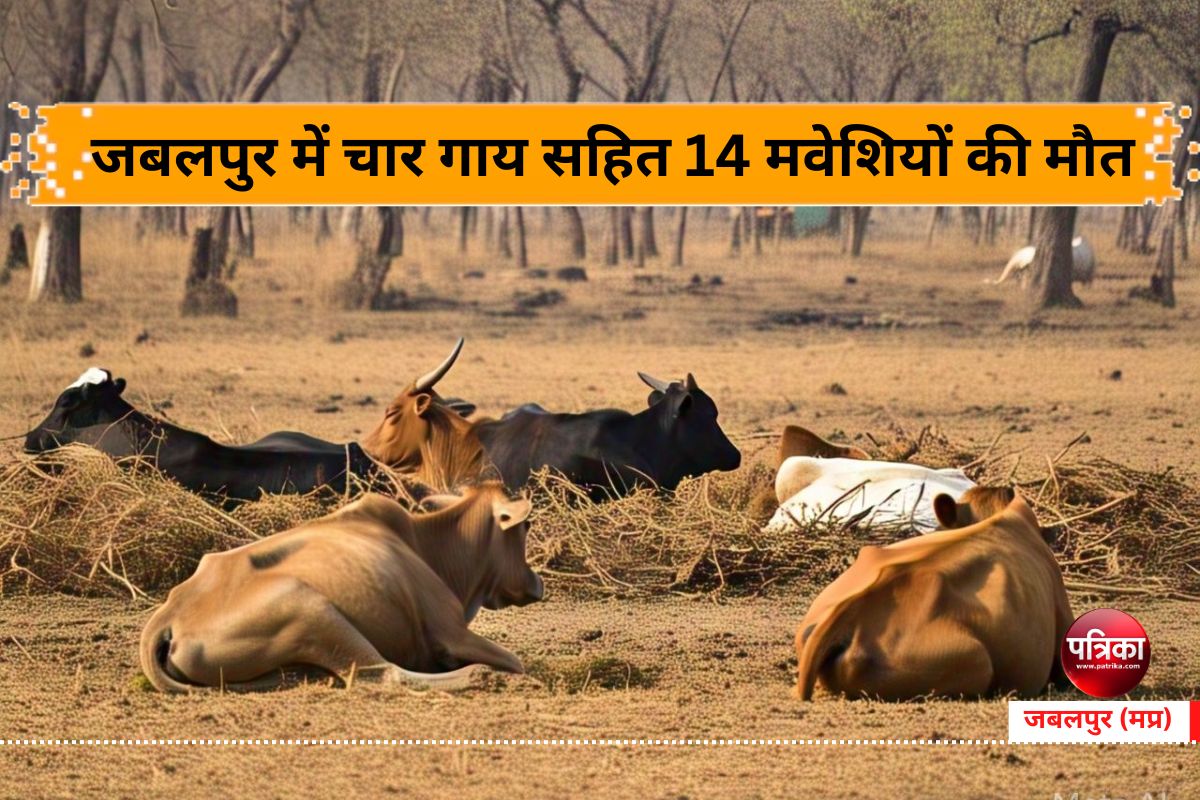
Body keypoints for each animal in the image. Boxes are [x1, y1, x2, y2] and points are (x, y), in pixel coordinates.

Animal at [139, 482, 542, 692]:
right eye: (525, 525)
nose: (536, 582)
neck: (425, 543)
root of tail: (167, 617)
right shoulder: (451, 632)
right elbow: (515, 661)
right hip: (314, 612)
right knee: (380, 673)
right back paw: (478, 674)